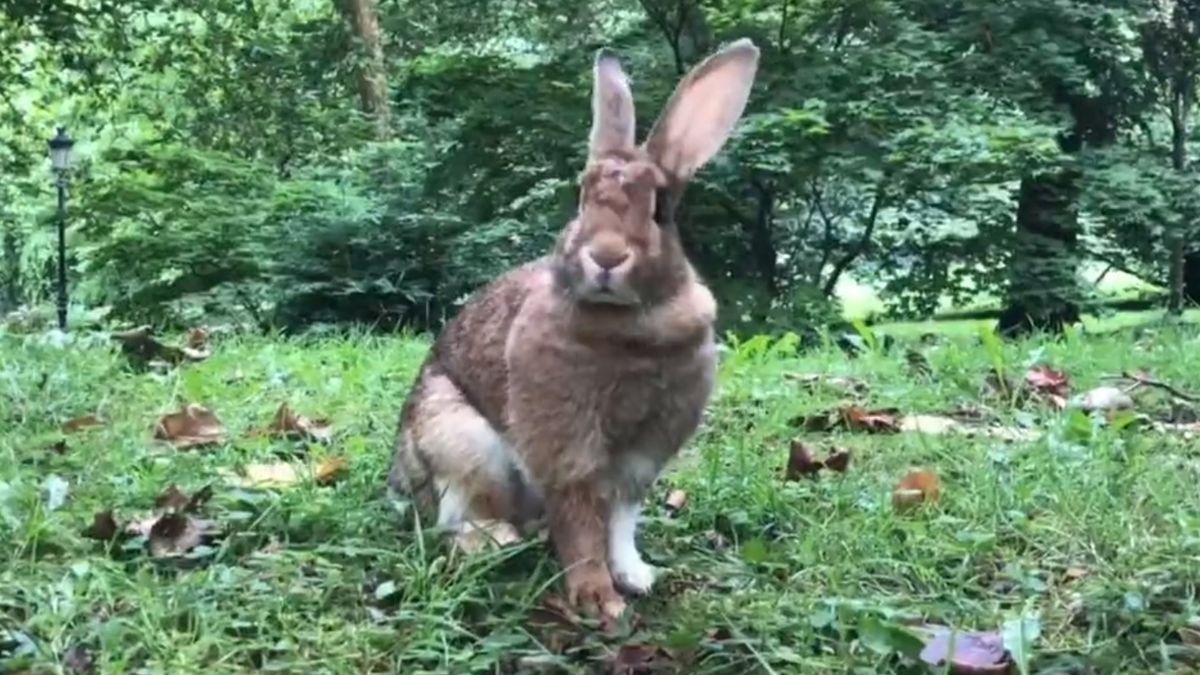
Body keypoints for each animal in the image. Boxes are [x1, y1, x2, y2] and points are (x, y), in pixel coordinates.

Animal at [388, 35, 763, 614]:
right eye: (582, 196)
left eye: (660, 208)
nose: (606, 257)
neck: (630, 325)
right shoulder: (564, 442)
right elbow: (581, 515)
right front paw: (596, 597)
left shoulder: (645, 451)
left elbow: (621, 517)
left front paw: (634, 576)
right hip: (461, 443)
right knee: (454, 517)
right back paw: (495, 539)